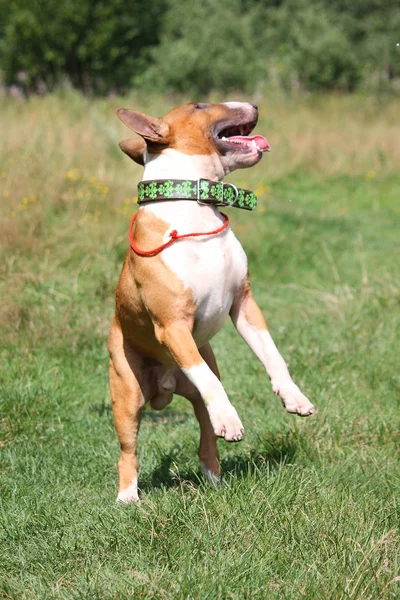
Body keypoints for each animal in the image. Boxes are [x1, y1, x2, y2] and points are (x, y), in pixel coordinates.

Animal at [108, 102, 314, 502]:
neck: (194, 207)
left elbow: (272, 354)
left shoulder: (244, 305)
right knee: (129, 450)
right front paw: (231, 419)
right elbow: (207, 379)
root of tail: (163, 389)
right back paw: (127, 497)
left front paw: (294, 397)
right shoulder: (172, 327)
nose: (254, 103)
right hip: (127, 392)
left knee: (206, 437)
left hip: (199, 378)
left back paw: (215, 479)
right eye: (199, 106)